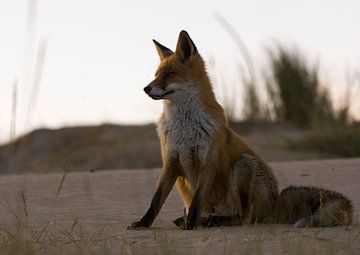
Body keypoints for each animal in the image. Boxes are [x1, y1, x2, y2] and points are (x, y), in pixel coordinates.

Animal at [128, 30, 352, 230]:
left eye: (170, 74)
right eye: (156, 75)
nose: (146, 88)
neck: (185, 128)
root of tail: (274, 205)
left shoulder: (207, 162)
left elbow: (196, 202)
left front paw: (190, 225)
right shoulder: (171, 161)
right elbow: (156, 200)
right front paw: (143, 223)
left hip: (243, 164)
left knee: (244, 218)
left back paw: (211, 222)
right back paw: (201, 221)